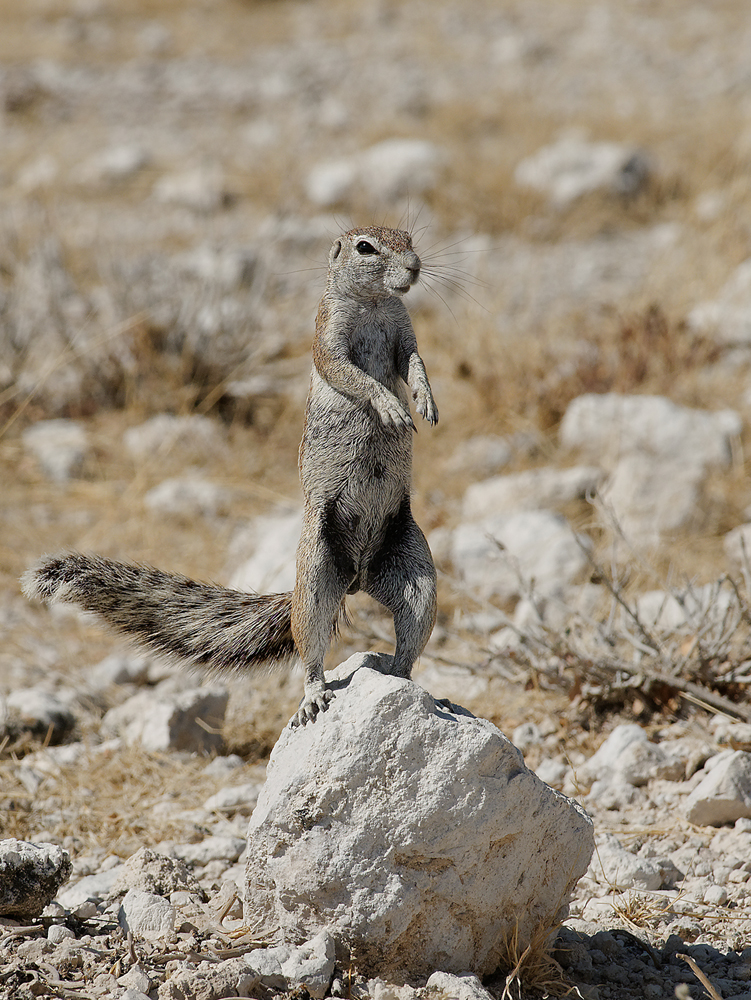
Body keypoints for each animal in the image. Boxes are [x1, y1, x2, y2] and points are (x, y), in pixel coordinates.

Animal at [23, 227, 440, 728]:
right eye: (365, 248)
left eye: (409, 237)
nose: (415, 266)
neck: (376, 303)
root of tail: (357, 577)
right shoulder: (328, 336)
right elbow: (350, 373)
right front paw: (392, 405)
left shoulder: (404, 333)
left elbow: (415, 361)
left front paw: (426, 400)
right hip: (316, 575)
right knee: (310, 646)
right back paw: (315, 695)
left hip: (416, 574)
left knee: (410, 632)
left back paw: (405, 681)